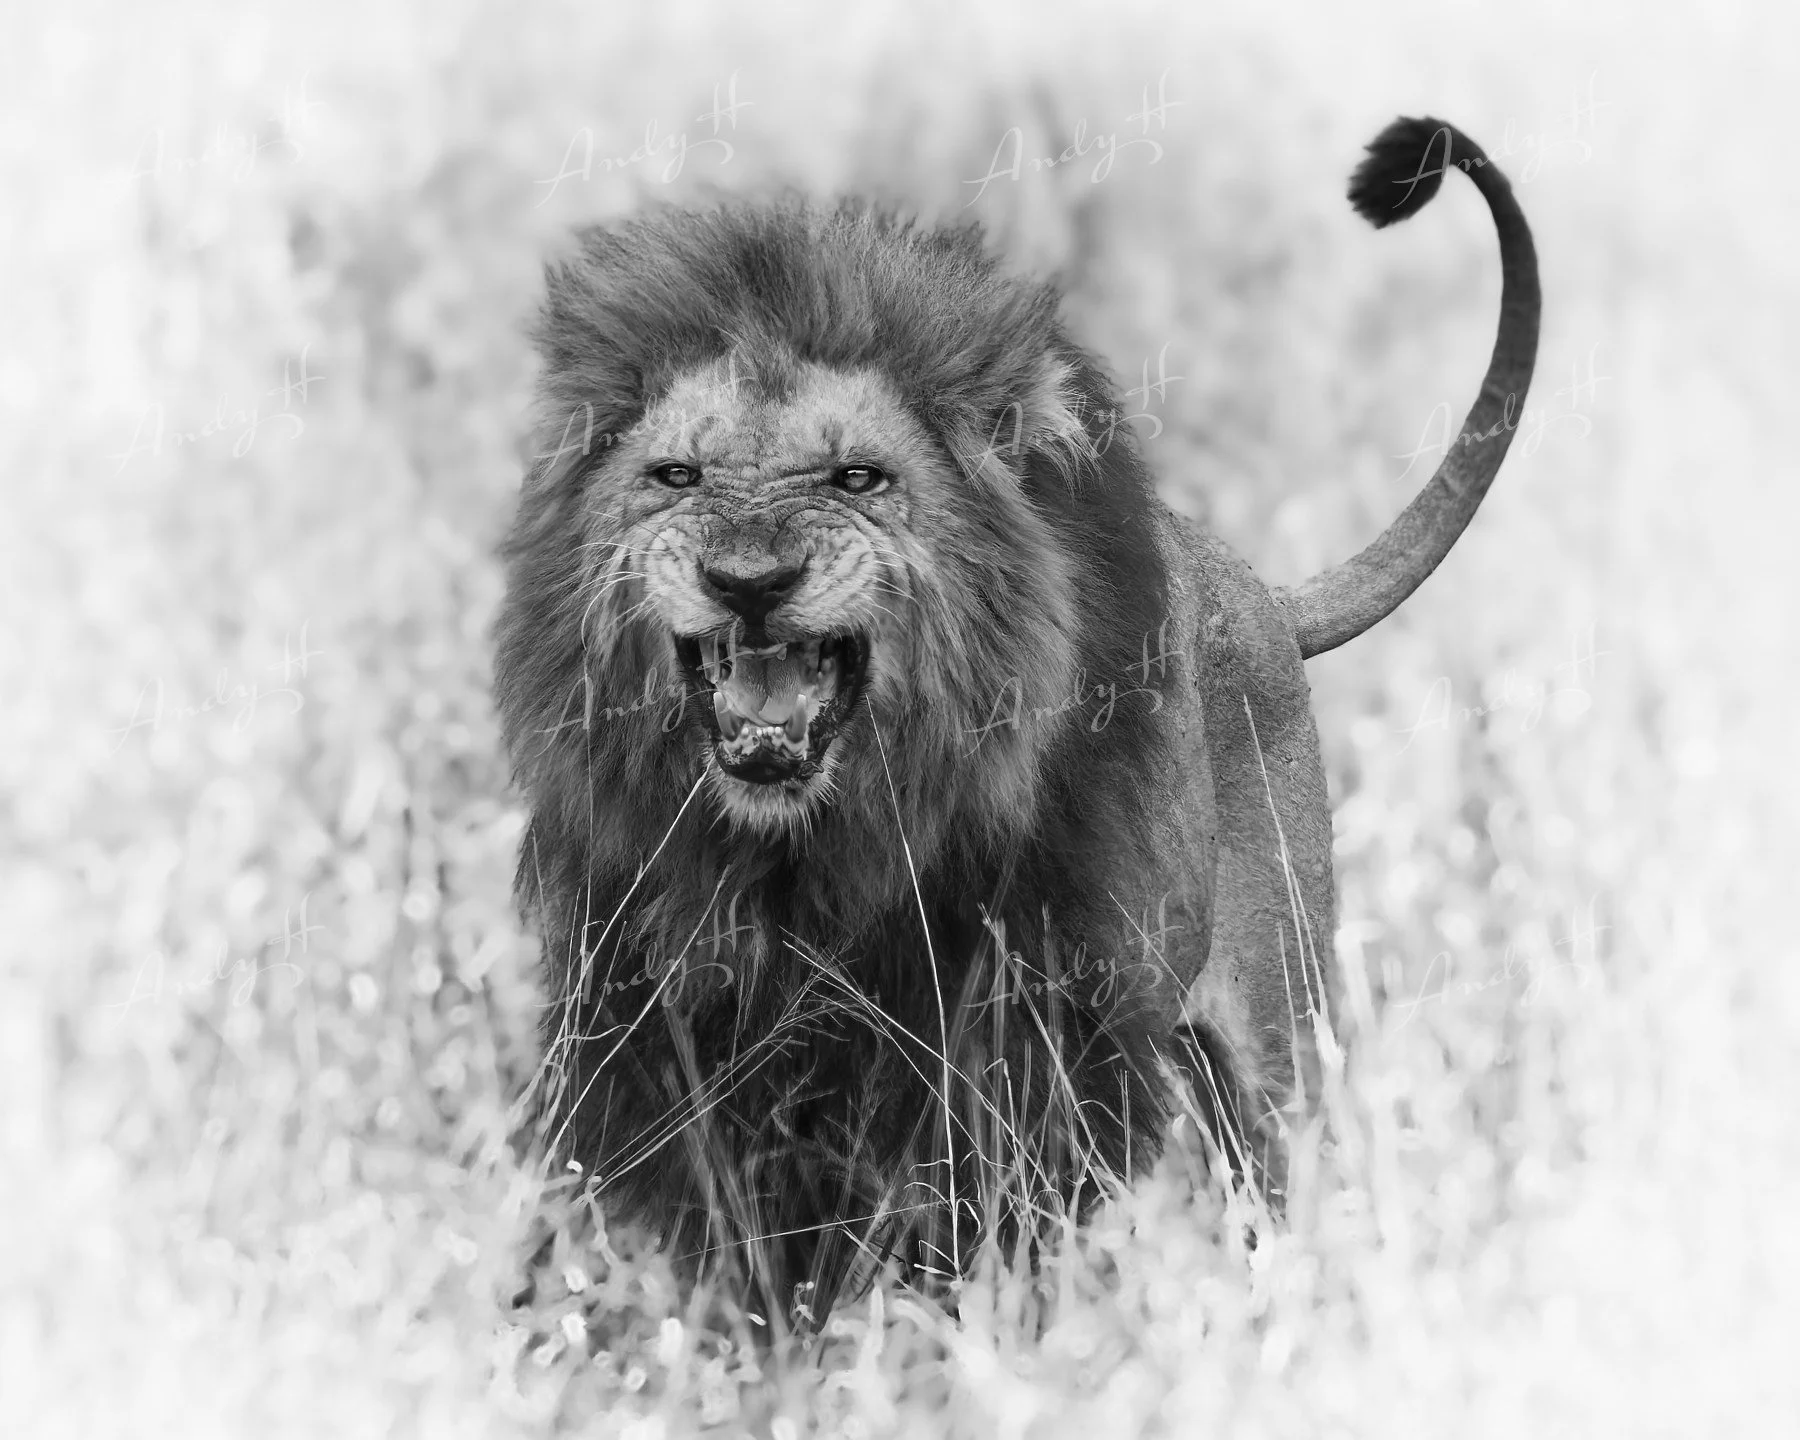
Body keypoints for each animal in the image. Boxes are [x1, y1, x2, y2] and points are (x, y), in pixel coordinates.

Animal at [494, 116, 1539, 1325]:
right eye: (675, 476)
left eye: (859, 479)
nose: (749, 577)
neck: (806, 857)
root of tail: (1258, 591)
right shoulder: (680, 1048)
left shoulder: (1010, 1044)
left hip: (1276, 1055)